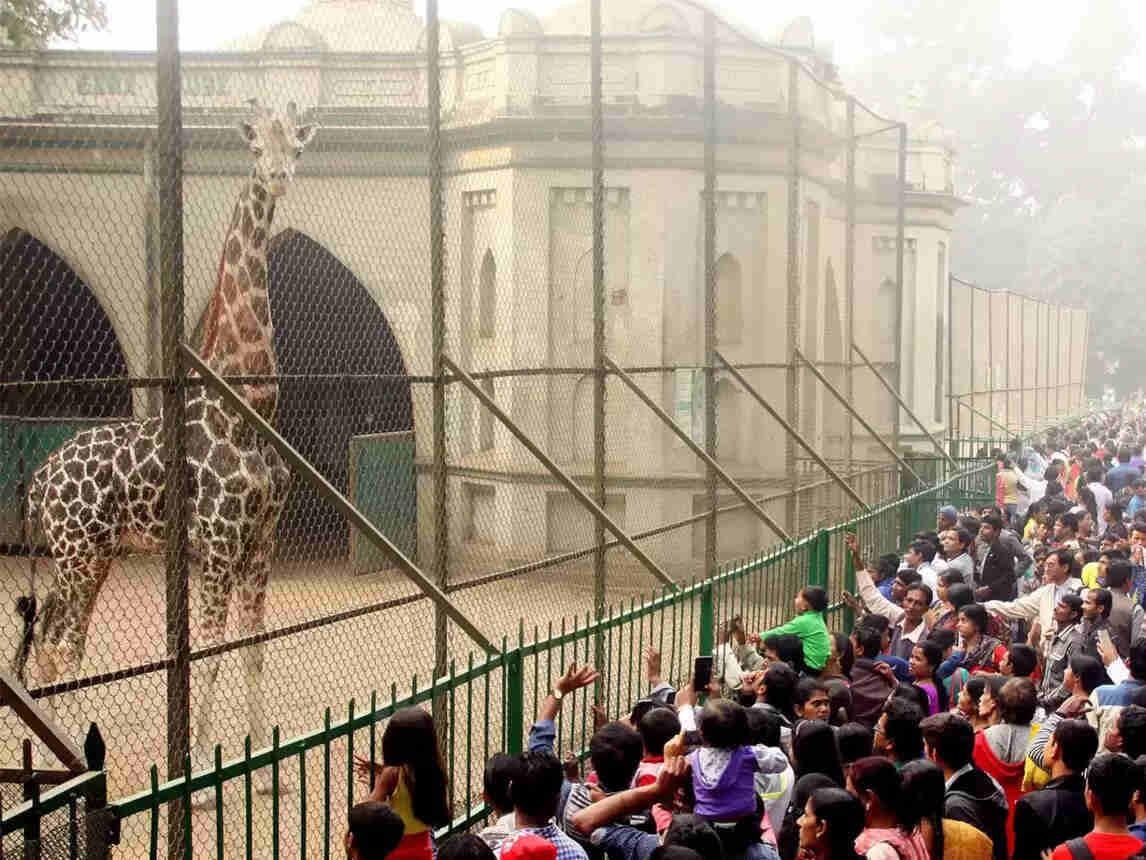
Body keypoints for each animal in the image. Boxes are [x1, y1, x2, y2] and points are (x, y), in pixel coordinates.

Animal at [15, 100, 318, 788]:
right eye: (255, 145)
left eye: (297, 145)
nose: (279, 176)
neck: (247, 411)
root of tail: (38, 480)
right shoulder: (218, 541)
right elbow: (207, 652)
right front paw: (203, 775)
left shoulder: (261, 541)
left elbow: (254, 650)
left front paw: (268, 772)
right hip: (78, 553)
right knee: (58, 645)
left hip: (91, 556)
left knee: (51, 641)